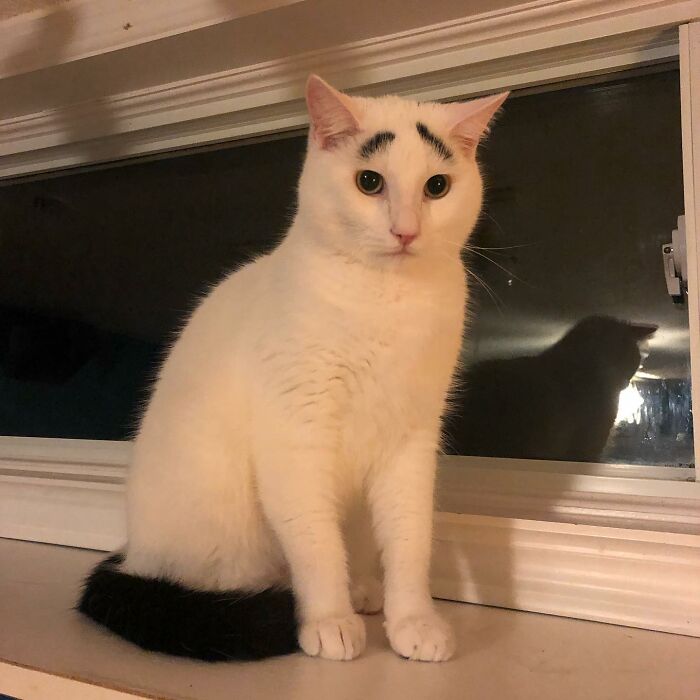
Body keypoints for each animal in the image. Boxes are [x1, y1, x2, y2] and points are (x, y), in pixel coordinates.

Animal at [79, 75, 506, 660]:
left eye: (437, 187)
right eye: (369, 182)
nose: (406, 231)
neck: (386, 302)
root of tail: (133, 555)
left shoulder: (412, 440)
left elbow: (410, 540)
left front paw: (413, 621)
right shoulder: (295, 437)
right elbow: (316, 542)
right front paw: (327, 619)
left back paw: (365, 590)